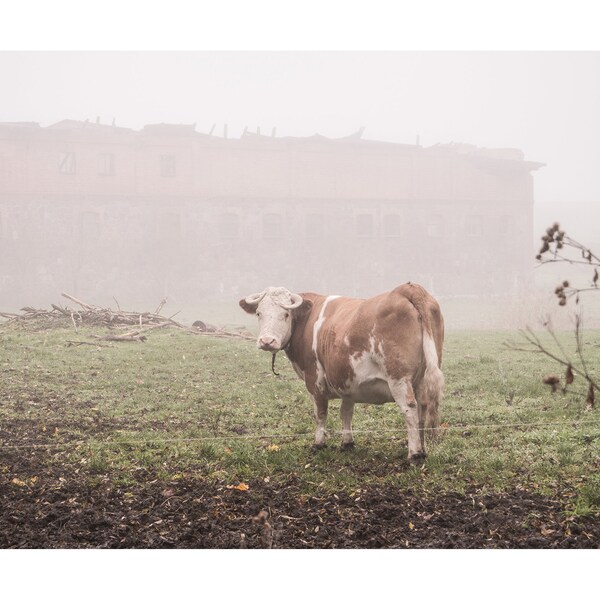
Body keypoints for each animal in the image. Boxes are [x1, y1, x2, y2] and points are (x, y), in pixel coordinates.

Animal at [240, 284, 446, 462]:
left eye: (285, 314)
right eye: (258, 313)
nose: (267, 341)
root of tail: (406, 288)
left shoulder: (314, 379)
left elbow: (320, 413)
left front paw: (318, 444)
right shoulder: (347, 379)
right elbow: (346, 412)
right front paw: (347, 443)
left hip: (399, 378)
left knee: (410, 410)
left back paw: (414, 454)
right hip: (421, 378)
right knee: (423, 408)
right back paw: (423, 449)